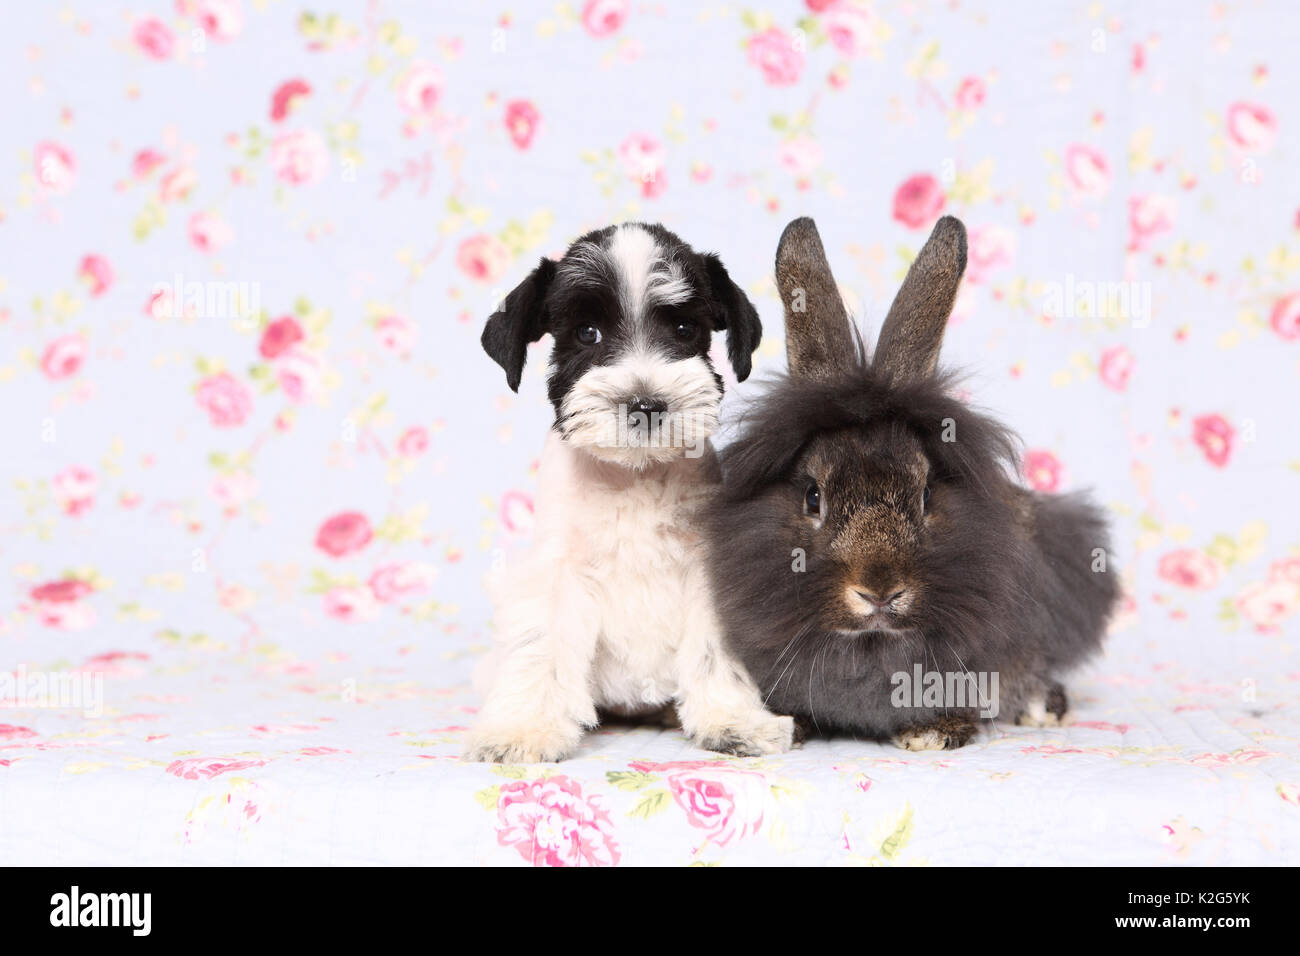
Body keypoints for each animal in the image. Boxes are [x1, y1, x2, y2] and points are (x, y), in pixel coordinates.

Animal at [462, 222, 795, 764]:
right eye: (587, 333)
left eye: (683, 329)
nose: (646, 405)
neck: (633, 477)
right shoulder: (555, 574)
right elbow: (541, 649)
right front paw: (524, 729)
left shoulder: (707, 572)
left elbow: (714, 651)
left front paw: (733, 720)